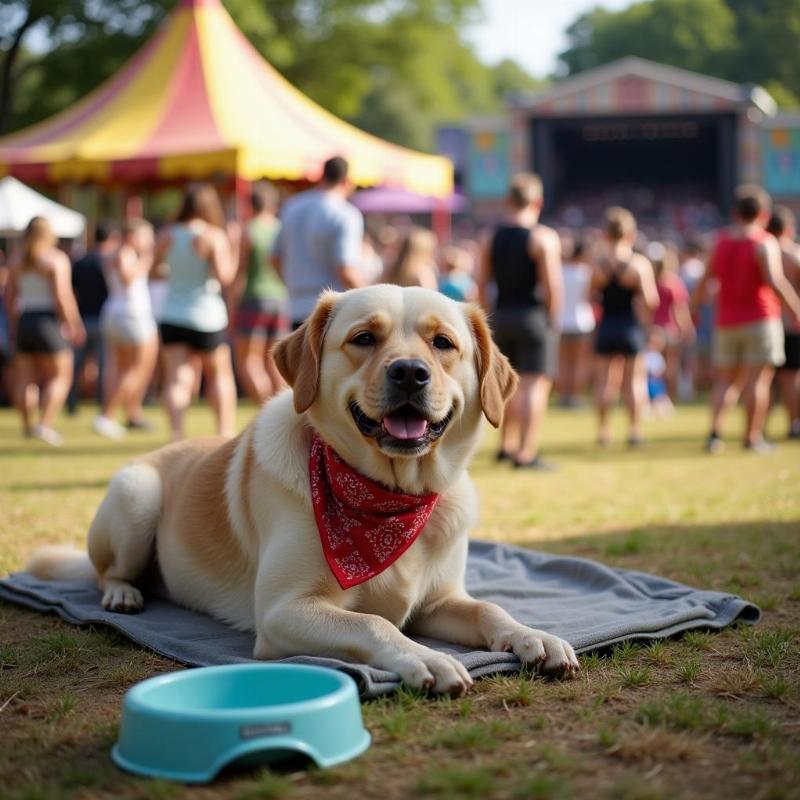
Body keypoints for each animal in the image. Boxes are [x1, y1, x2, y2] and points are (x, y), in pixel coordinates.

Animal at [28, 286, 580, 692]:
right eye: (364, 338)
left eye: (442, 343)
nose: (409, 372)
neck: (390, 498)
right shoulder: (281, 611)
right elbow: (373, 623)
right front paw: (427, 659)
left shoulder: (438, 602)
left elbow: (489, 607)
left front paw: (532, 636)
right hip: (136, 495)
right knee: (105, 573)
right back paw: (123, 592)